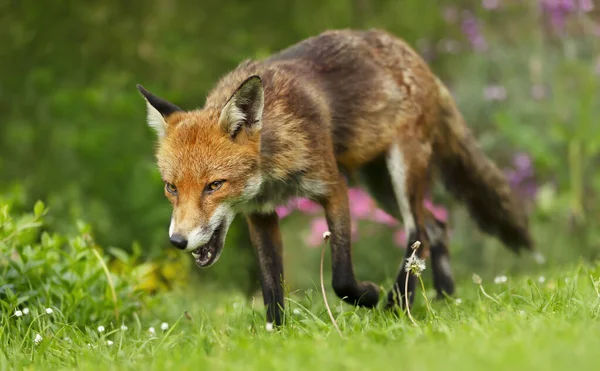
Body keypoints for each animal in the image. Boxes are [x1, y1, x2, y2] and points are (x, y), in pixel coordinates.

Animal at [137, 28, 540, 326]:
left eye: (214, 185)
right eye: (171, 188)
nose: (177, 241)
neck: (272, 171)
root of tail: (411, 55)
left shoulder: (333, 188)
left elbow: (341, 278)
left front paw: (370, 295)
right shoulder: (261, 214)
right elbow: (271, 286)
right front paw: (276, 337)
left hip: (399, 173)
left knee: (419, 233)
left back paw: (399, 304)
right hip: (379, 188)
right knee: (436, 229)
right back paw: (442, 298)